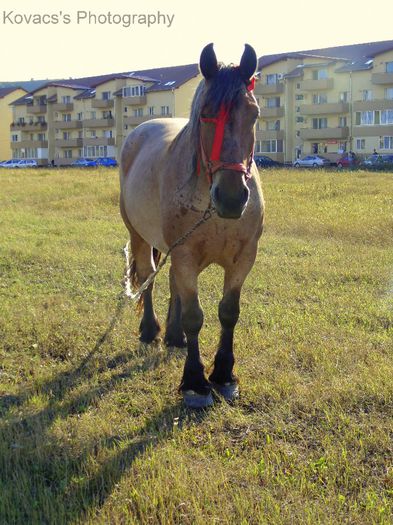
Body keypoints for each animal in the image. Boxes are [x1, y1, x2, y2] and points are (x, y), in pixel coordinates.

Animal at [119, 43, 264, 408]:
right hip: (139, 236)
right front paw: (196, 383)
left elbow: (228, 312)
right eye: (206, 114)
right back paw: (151, 330)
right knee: (148, 277)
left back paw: (174, 337)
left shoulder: (243, 259)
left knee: (171, 284)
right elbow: (194, 316)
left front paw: (224, 375)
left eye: (254, 113)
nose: (232, 197)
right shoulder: (185, 255)